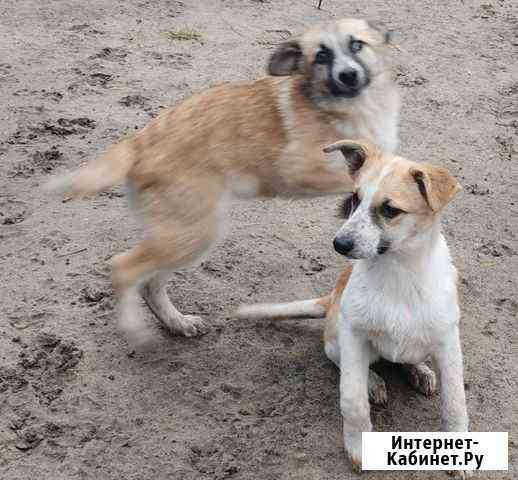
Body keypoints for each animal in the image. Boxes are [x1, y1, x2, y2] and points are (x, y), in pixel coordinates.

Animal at [48, 18, 400, 346]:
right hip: (194, 233)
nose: (348, 75)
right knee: (122, 268)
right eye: (322, 55)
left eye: (357, 45)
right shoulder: (299, 168)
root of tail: (139, 141)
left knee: (150, 283)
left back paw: (177, 323)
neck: (348, 105)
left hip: (184, 235)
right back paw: (135, 329)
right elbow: (356, 177)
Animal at [238, 139, 474, 476]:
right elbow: (352, 398)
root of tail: (330, 297)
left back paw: (420, 371)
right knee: (345, 362)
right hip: (337, 338)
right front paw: (358, 445)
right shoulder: (353, 334)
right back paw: (374, 382)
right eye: (354, 198)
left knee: (409, 358)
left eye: (390, 210)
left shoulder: (448, 341)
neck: (398, 274)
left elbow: (455, 401)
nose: (339, 244)